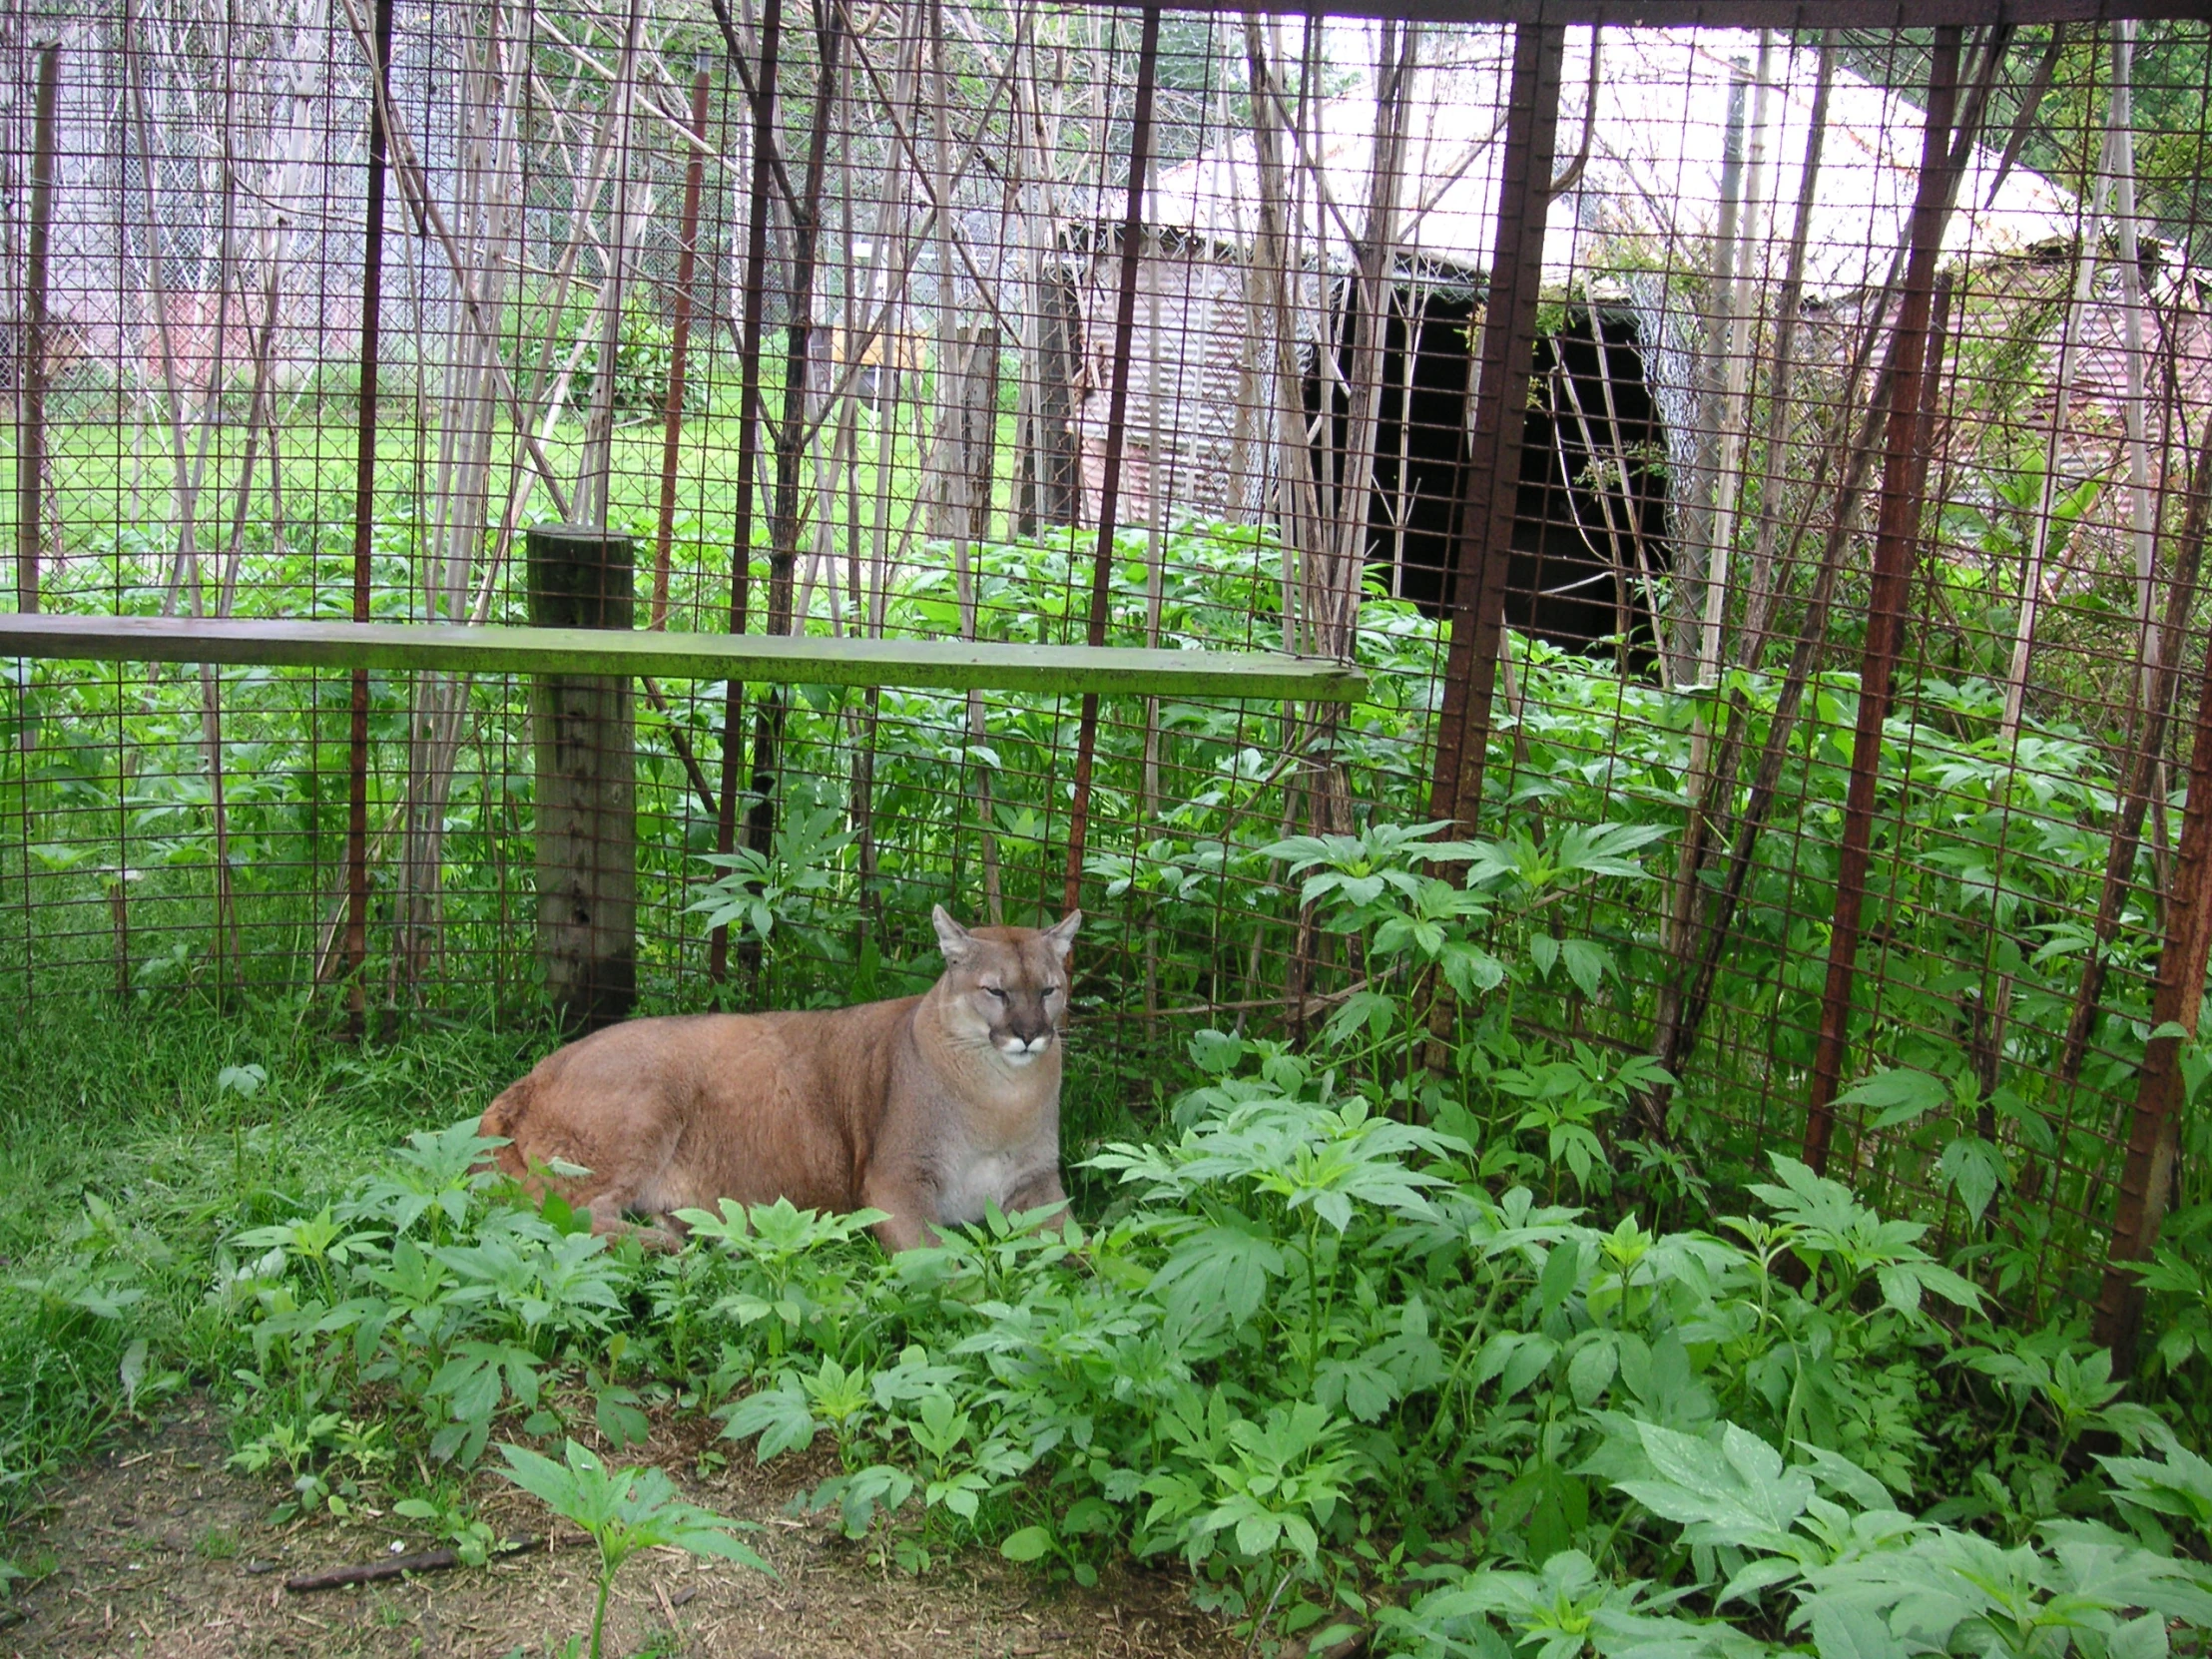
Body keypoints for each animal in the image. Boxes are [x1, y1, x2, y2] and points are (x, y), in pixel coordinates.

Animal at [484, 915, 1079, 1256]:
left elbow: (1080, 1243)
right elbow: (938, 1258)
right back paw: (666, 1243)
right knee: (560, 1212)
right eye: (996, 992)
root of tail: (531, 1075)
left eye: (1049, 990)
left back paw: (685, 1227)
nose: (1030, 1034)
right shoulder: (896, 1180)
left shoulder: (1037, 1183)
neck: (1001, 1095)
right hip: (646, 1107)